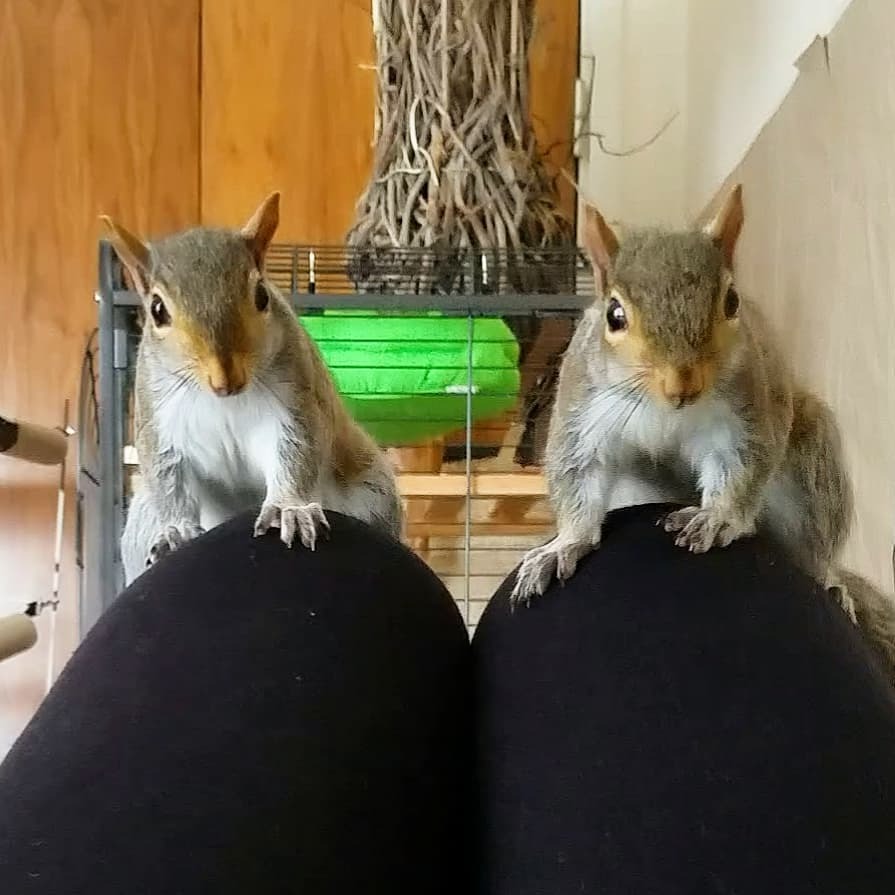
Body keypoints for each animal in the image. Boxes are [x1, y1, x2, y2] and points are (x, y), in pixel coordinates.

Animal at [101, 192, 403, 585]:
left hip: (372, 493)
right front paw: (176, 530)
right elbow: (167, 476)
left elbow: (296, 454)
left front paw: (290, 509)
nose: (225, 379)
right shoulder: (157, 418)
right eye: (156, 310)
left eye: (262, 295)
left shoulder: (295, 403)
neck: (223, 401)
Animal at [510, 184, 895, 676]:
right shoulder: (583, 411)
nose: (682, 384)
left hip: (812, 466)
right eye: (614, 315)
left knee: (812, 548)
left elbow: (742, 466)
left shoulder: (748, 410)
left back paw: (828, 577)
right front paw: (563, 545)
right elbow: (579, 475)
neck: (666, 409)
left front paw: (717, 517)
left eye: (732, 302)